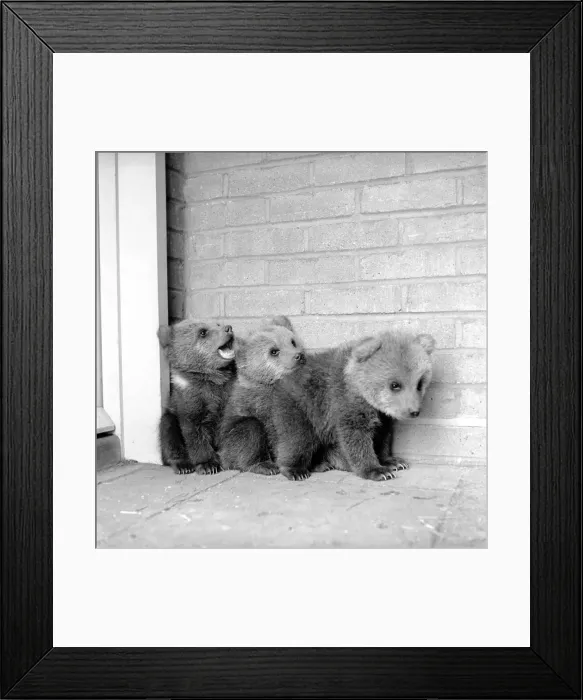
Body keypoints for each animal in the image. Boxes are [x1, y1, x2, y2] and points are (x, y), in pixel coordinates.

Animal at [157, 319, 236, 475]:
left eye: (217, 324)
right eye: (202, 332)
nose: (228, 328)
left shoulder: (228, 394)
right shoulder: (190, 401)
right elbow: (195, 433)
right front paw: (208, 465)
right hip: (171, 417)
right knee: (168, 431)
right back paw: (183, 465)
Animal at [219, 316, 319, 481]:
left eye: (292, 341)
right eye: (274, 351)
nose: (299, 356)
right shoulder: (265, 407)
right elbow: (288, 435)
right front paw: (296, 470)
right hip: (230, 438)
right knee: (250, 430)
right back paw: (264, 466)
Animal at [279, 330, 436, 481]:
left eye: (419, 383)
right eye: (395, 385)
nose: (414, 411)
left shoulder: (382, 416)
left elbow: (383, 436)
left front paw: (392, 462)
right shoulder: (346, 405)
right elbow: (356, 438)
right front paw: (377, 471)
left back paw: (322, 464)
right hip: (302, 408)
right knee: (298, 438)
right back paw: (296, 470)